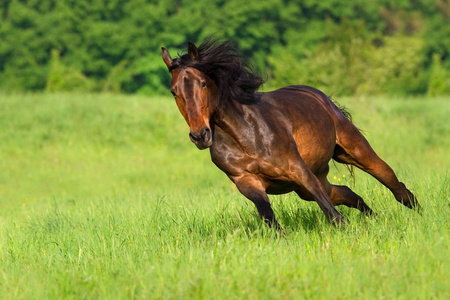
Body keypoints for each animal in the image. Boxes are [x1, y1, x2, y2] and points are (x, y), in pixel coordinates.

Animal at [160, 38, 420, 229]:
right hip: (310, 184)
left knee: (391, 181)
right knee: (346, 192)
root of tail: (321, 97)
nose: (200, 135)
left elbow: (332, 214)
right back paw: (373, 218)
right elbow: (268, 217)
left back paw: (417, 210)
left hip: (353, 151)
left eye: (203, 83)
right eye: (174, 91)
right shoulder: (246, 182)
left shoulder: (297, 168)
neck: (245, 136)